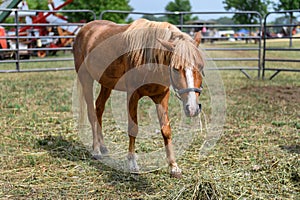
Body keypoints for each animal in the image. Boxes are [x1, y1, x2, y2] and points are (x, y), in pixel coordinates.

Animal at [72, 18, 204, 178]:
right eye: (175, 68)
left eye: (200, 66)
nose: (192, 108)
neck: (148, 59)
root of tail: (84, 29)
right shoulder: (132, 95)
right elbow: (133, 129)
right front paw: (132, 164)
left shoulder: (161, 97)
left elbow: (166, 130)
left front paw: (173, 166)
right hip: (86, 79)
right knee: (92, 113)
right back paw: (96, 149)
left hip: (106, 84)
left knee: (99, 108)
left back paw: (103, 146)